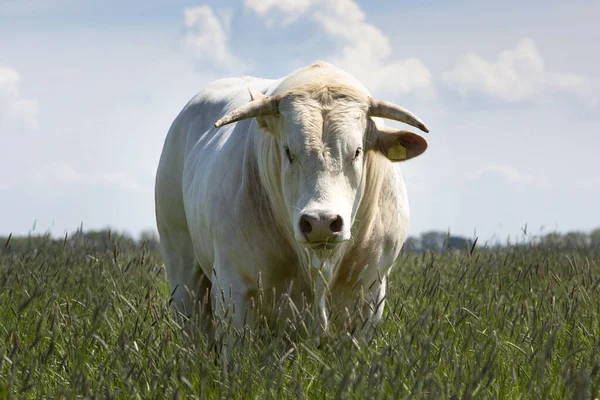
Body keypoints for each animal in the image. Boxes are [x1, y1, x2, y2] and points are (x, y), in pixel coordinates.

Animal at [155, 61, 426, 332]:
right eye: (288, 152)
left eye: (357, 151)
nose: (321, 222)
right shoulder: (233, 289)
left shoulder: (370, 294)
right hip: (182, 269)